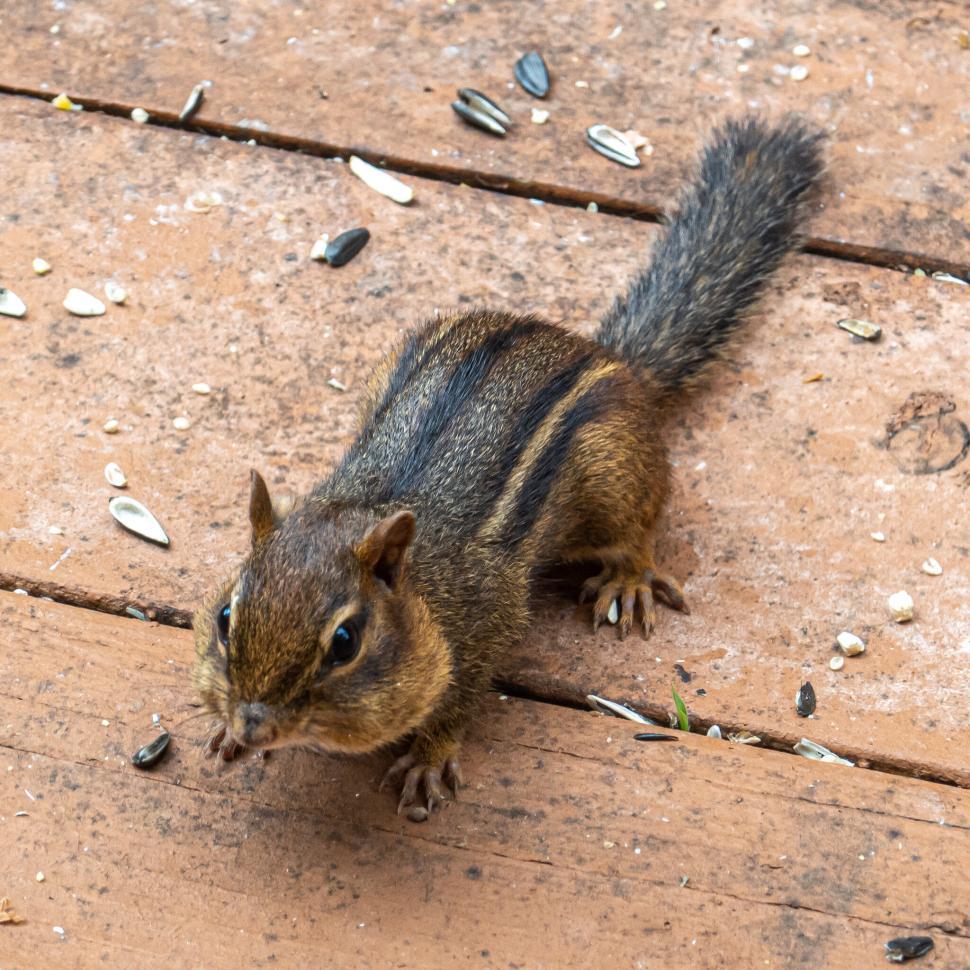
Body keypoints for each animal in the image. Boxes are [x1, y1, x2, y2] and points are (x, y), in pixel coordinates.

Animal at [193, 116, 824, 815]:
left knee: (638, 529)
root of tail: (609, 355)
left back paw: (627, 579)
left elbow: (459, 699)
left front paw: (429, 757)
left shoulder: (483, 625)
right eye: (225, 617)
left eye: (345, 643)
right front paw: (223, 734)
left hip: (615, 474)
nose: (253, 726)